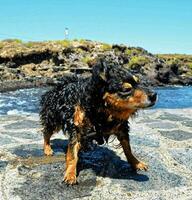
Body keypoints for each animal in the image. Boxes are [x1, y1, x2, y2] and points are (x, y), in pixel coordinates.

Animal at [39, 57, 157, 185]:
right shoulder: (76, 128)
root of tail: (55, 88)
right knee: (46, 133)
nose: (154, 95)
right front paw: (70, 174)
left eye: (139, 82)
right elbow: (72, 155)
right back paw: (47, 149)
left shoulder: (121, 128)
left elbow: (128, 148)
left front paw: (136, 163)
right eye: (126, 89)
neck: (104, 111)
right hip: (53, 119)